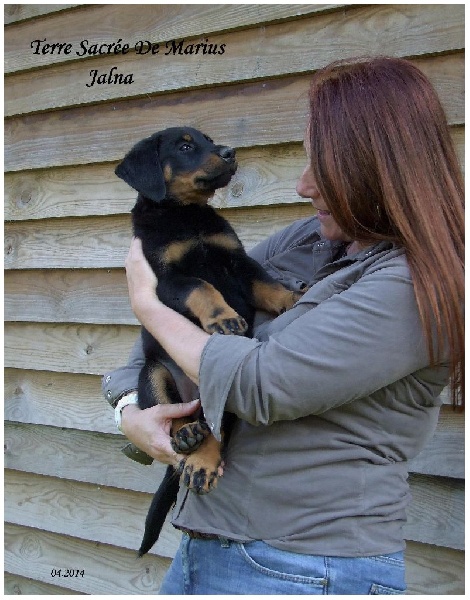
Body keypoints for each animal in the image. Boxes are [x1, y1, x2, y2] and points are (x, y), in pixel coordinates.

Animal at [115, 127, 301, 556]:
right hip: (155, 373)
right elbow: (202, 286)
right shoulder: (167, 279)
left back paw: (200, 453)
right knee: (181, 418)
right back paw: (189, 441)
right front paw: (224, 318)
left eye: (208, 140)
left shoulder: (237, 261)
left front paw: (292, 298)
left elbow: (267, 282)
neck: (189, 215)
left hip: (225, 394)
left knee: (215, 423)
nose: (231, 153)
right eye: (185, 146)